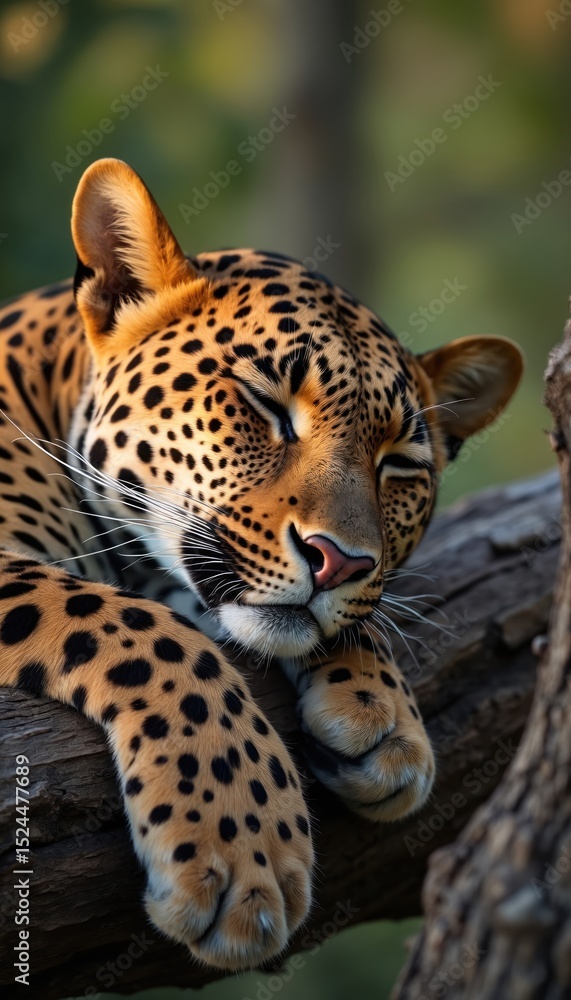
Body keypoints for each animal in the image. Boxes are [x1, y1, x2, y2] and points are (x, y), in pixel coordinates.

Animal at [0, 158, 523, 971]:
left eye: (400, 465)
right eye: (265, 403)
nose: (336, 561)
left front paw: (384, 713)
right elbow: (143, 630)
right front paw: (242, 844)